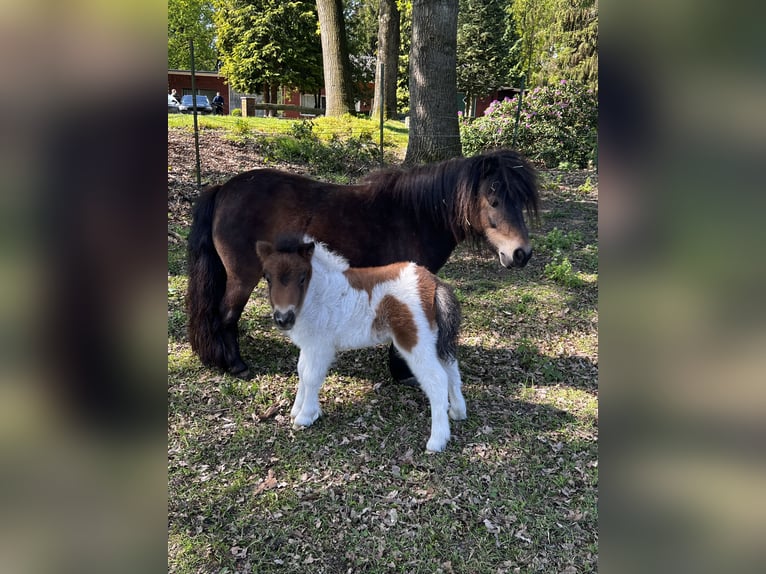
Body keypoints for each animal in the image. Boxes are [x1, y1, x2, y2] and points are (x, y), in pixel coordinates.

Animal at [186, 151, 540, 380]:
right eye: (493, 200)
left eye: (521, 201)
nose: (521, 253)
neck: (415, 216)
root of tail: (223, 189)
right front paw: (401, 372)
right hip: (242, 276)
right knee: (226, 315)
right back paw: (236, 365)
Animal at [258, 236, 468, 452]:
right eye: (267, 277)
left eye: (302, 278)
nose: (283, 319)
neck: (316, 295)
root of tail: (434, 282)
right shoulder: (309, 345)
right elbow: (301, 371)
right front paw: (297, 409)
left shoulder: (320, 347)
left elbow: (310, 377)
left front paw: (305, 416)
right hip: (434, 340)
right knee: (452, 371)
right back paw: (458, 412)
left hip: (416, 343)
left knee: (437, 380)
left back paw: (437, 440)